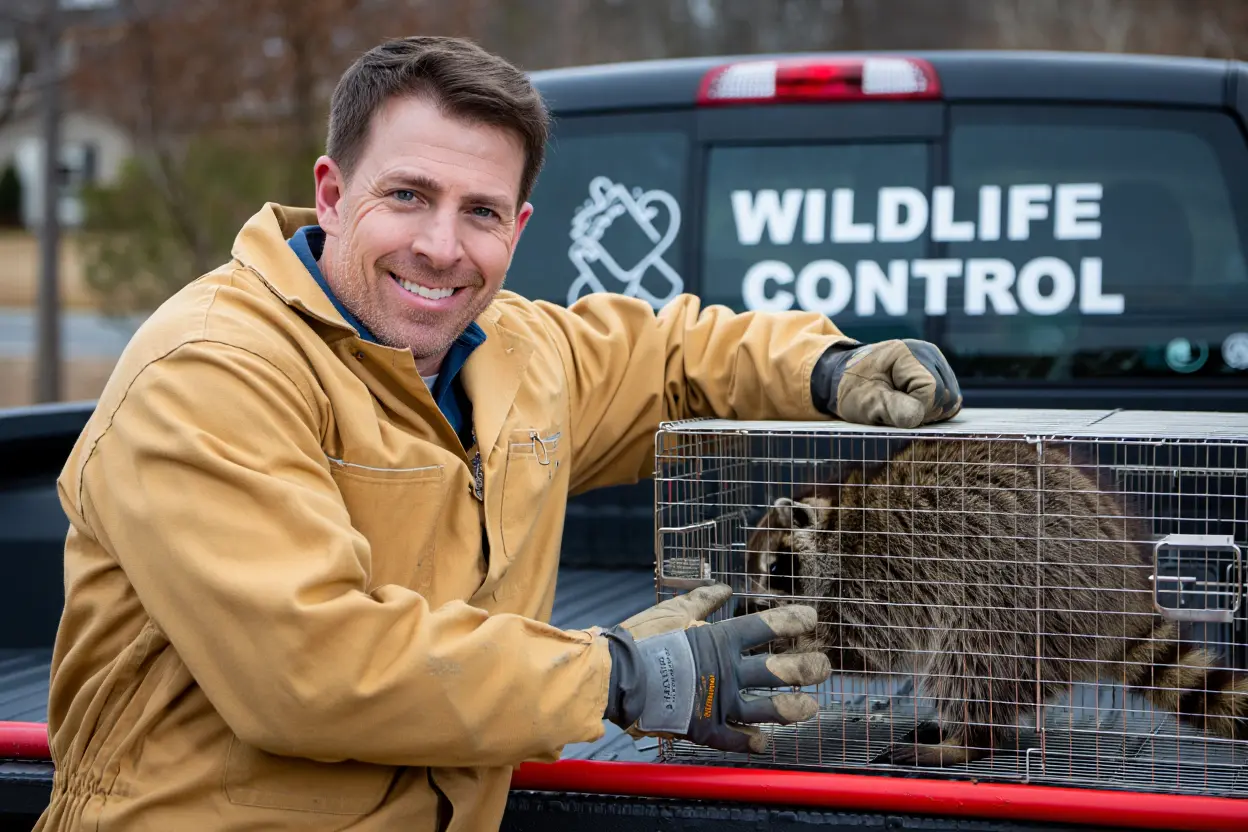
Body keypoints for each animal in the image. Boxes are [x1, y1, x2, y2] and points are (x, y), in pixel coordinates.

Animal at [742, 437, 1248, 768]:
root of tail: (1125, 599)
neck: (842, 521)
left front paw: (785, 639)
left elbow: (870, 647)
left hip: (1025, 602)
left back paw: (966, 741)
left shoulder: (883, 568)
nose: (755, 603)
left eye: (775, 570)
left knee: (972, 659)